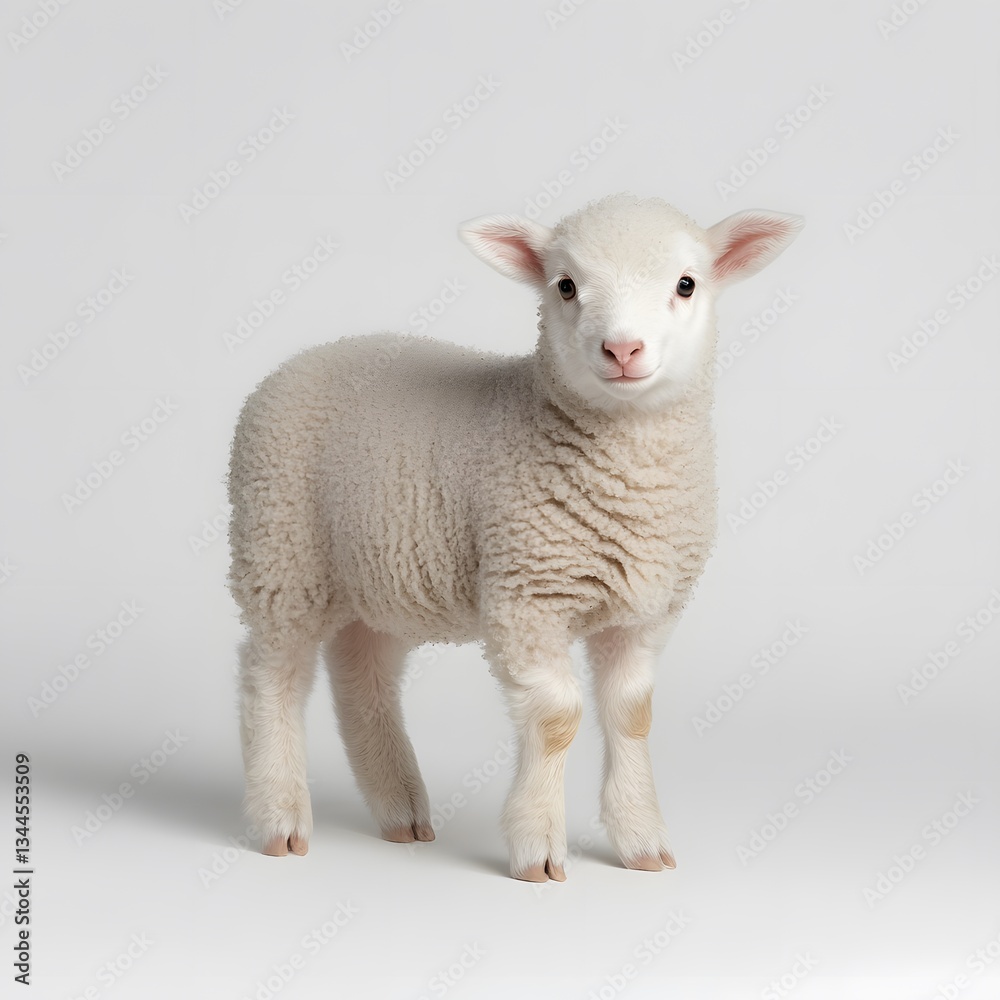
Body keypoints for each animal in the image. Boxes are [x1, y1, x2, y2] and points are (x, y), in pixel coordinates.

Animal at [228, 193, 803, 881]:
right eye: (566, 285)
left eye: (687, 284)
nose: (623, 349)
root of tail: (307, 356)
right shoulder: (527, 595)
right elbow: (558, 718)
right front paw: (537, 848)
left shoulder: (645, 609)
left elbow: (632, 714)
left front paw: (641, 841)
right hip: (282, 549)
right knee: (272, 674)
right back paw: (280, 816)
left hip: (376, 574)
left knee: (362, 672)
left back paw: (399, 810)